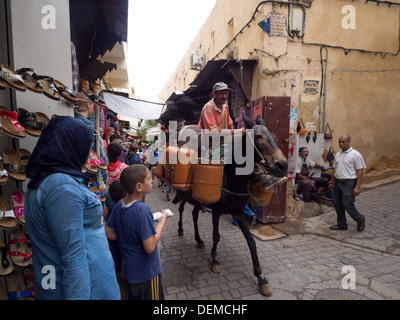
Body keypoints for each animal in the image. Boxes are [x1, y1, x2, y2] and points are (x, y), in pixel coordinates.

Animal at [166, 114, 288, 296]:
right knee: (181, 210)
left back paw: (199, 240)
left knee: (194, 215)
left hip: (198, 201)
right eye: (258, 137)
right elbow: (216, 236)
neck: (233, 178)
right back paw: (181, 229)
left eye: (273, 135)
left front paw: (261, 277)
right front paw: (215, 261)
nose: (282, 165)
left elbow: (251, 242)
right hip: (184, 195)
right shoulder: (217, 212)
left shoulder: (238, 212)